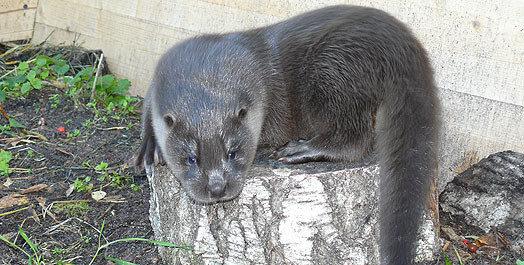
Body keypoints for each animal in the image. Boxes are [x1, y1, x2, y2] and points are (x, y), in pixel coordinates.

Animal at [129, 4, 440, 264]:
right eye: (191, 159)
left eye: (232, 152)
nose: (217, 188)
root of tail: (402, 43)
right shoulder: (156, 84)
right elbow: (147, 113)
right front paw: (148, 148)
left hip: (335, 68)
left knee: (355, 139)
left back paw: (301, 150)